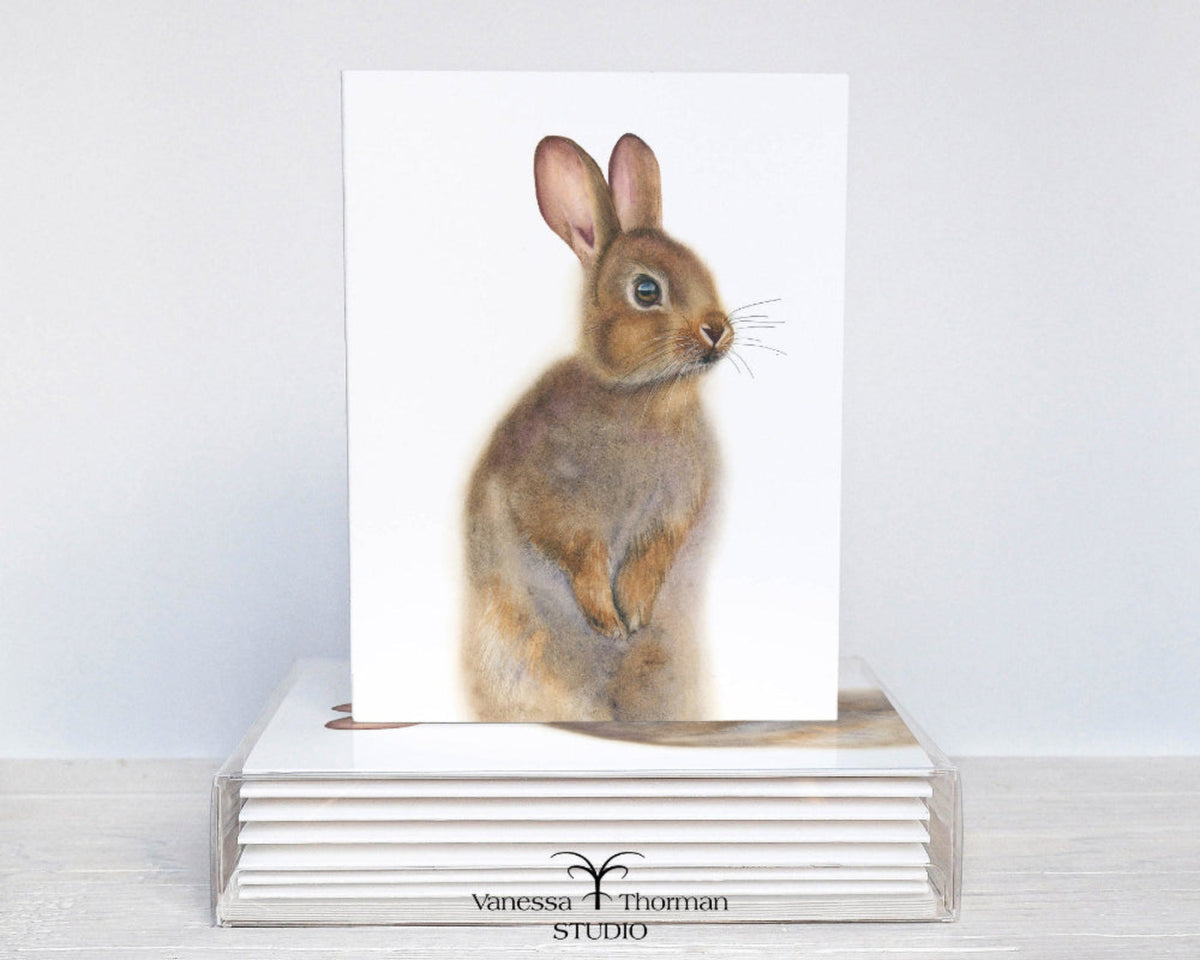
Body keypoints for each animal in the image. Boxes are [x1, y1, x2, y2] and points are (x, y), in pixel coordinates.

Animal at [461, 133, 733, 721]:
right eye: (647, 291)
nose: (718, 330)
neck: (643, 399)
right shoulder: (554, 506)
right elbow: (583, 558)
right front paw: (609, 624)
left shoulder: (669, 518)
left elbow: (647, 563)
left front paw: (633, 615)